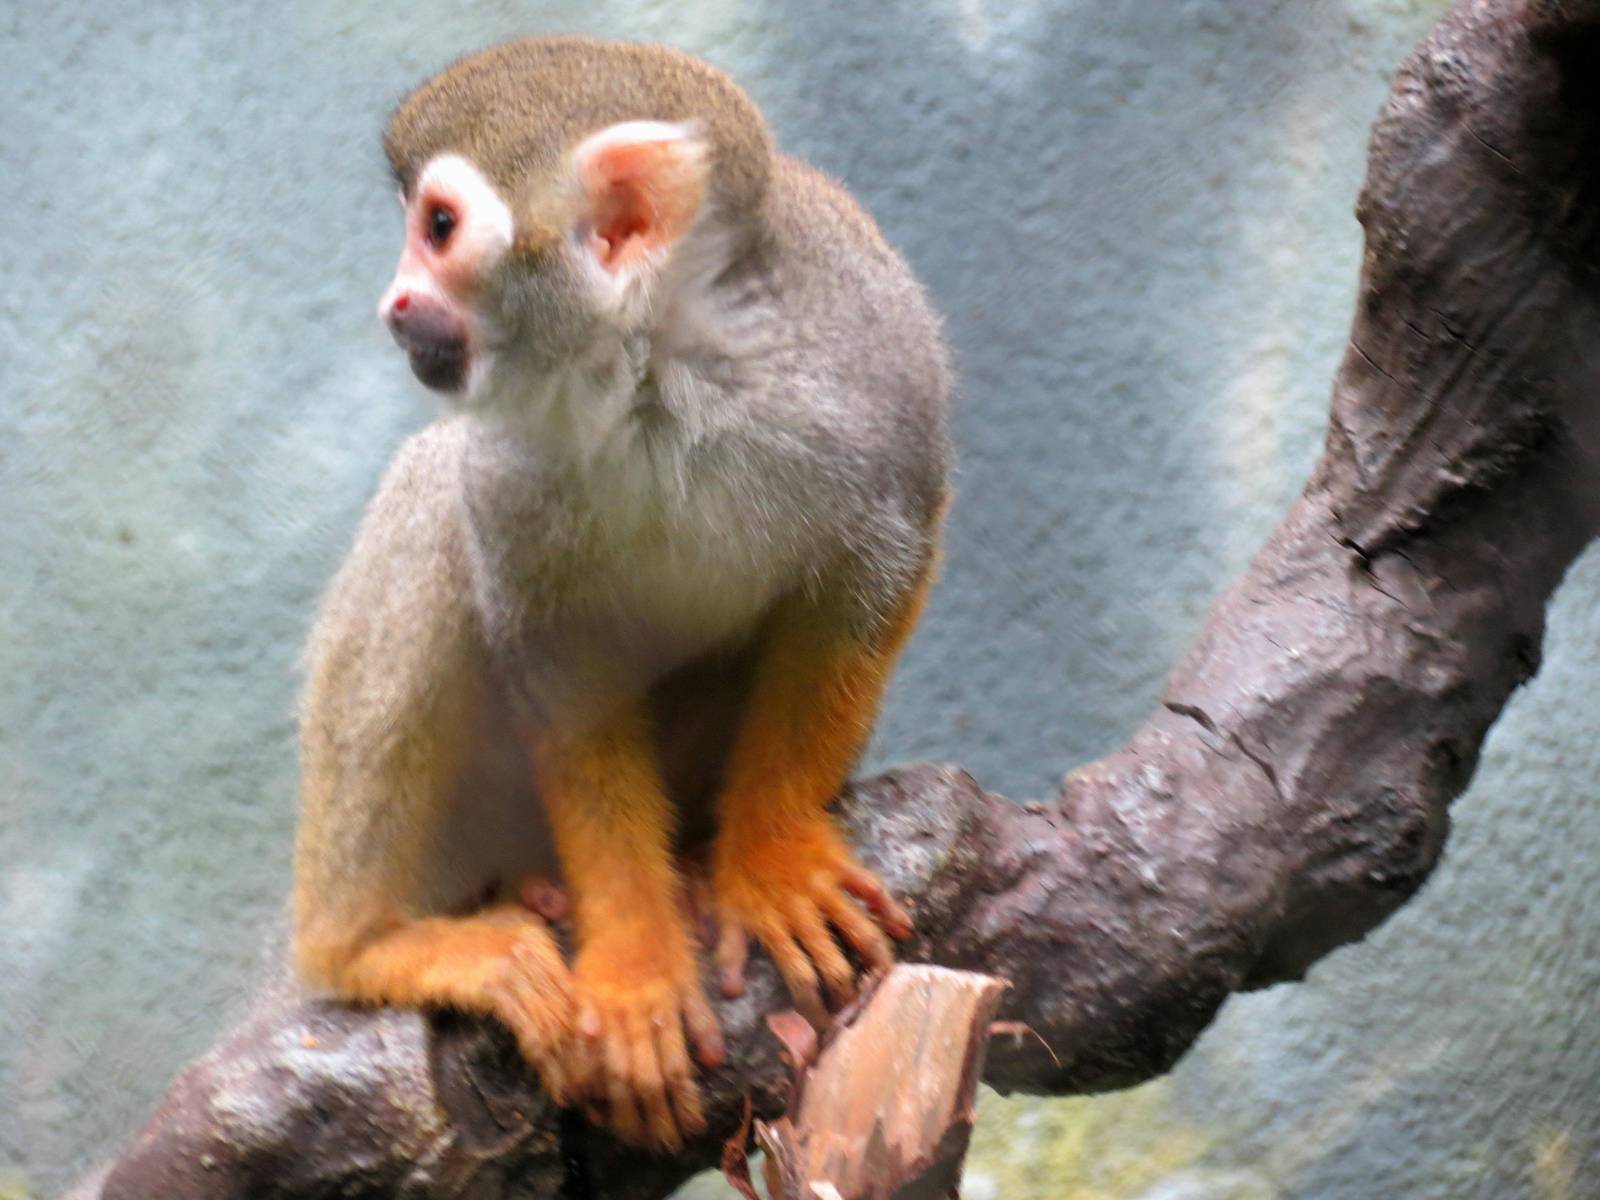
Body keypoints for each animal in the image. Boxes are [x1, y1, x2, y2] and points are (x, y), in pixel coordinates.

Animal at [292, 36, 951, 1152]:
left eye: (439, 228)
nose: (394, 305)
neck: (654, 373)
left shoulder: (872, 371)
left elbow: (876, 569)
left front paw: (772, 857)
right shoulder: (511, 461)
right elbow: (559, 668)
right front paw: (638, 963)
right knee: (433, 496)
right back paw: (361, 946)